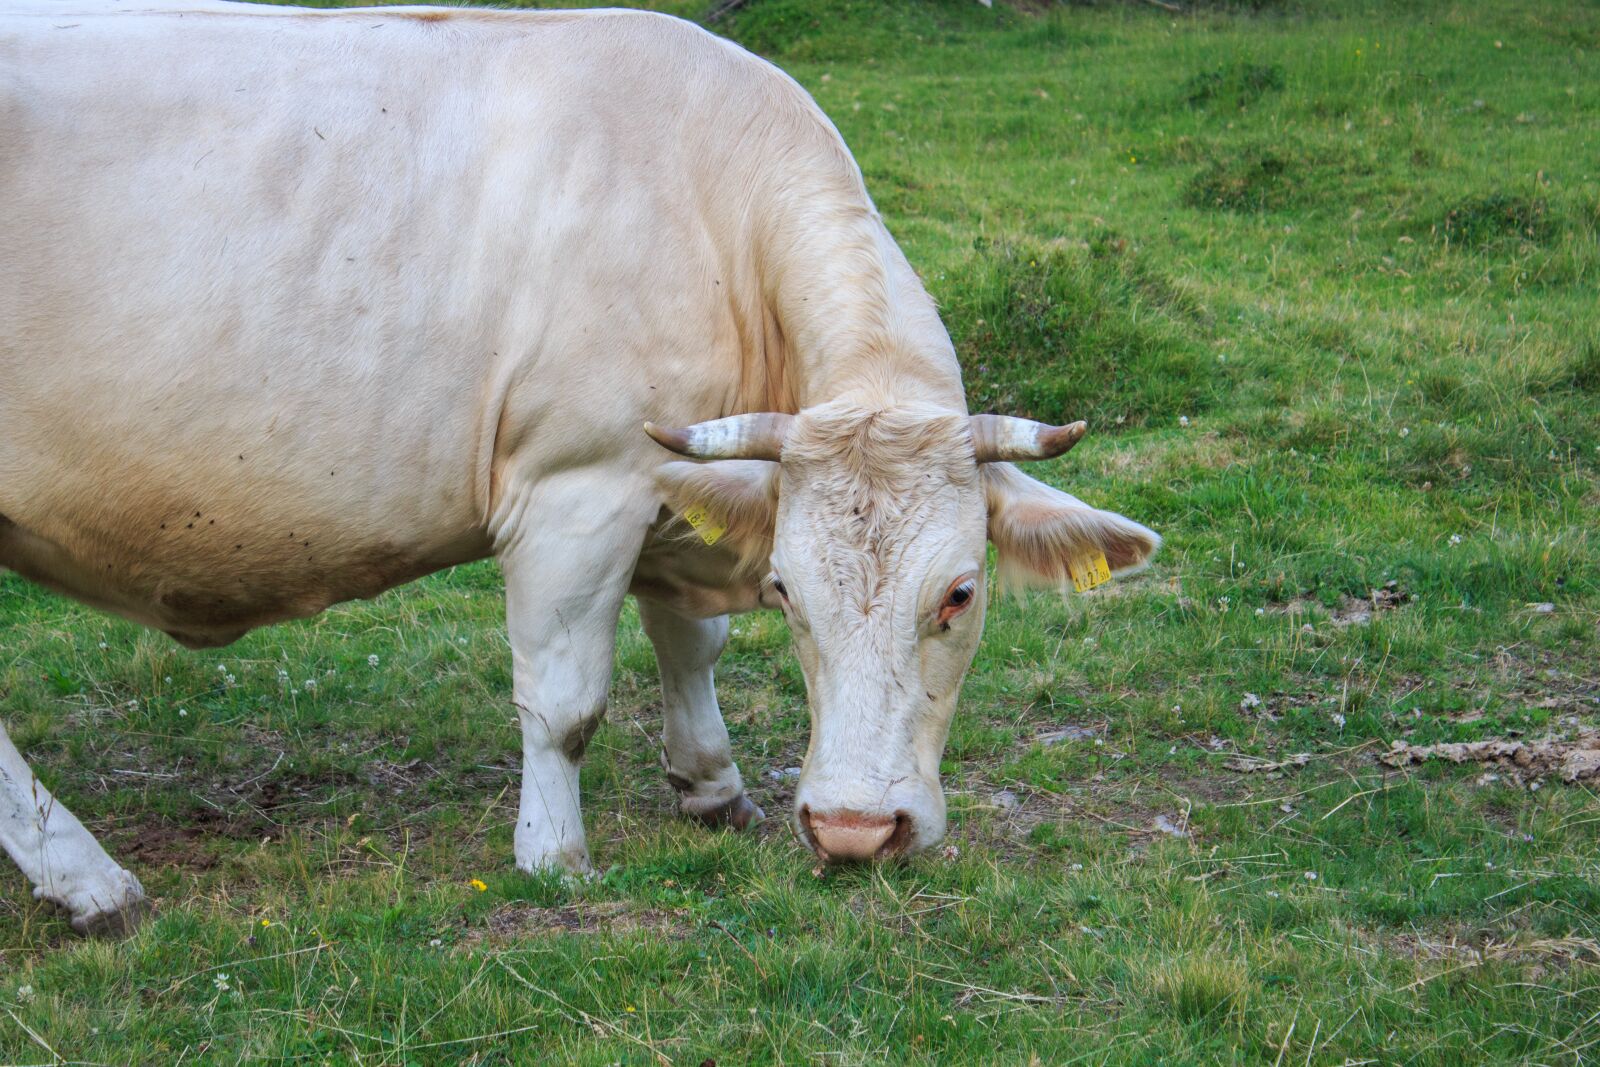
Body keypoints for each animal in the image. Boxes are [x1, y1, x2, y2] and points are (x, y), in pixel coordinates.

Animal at [0, 0, 1159, 935]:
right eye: (790, 590)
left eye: (959, 593)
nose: (853, 829)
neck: (713, 211)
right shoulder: (578, 485)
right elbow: (565, 702)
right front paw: (554, 856)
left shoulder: (681, 482)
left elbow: (690, 642)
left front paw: (711, 784)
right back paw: (90, 880)